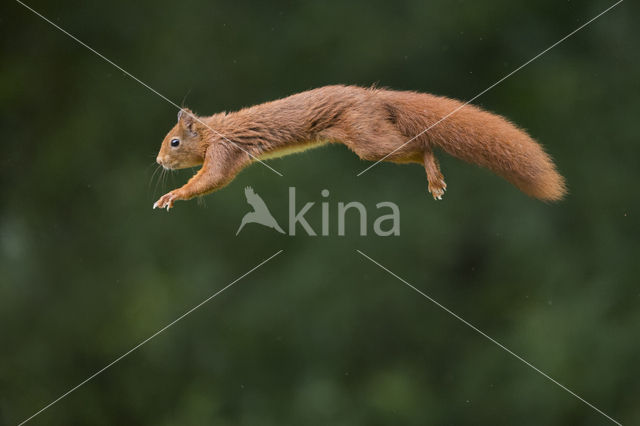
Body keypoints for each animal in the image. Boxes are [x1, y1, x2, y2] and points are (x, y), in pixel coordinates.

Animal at [154, 85, 564, 210]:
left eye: (174, 141)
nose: (158, 160)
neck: (213, 132)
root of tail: (374, 96)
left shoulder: (224, 151)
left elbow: (211, 179)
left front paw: (171, 195)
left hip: (367, 139)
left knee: (421, 144)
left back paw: (434, 177)